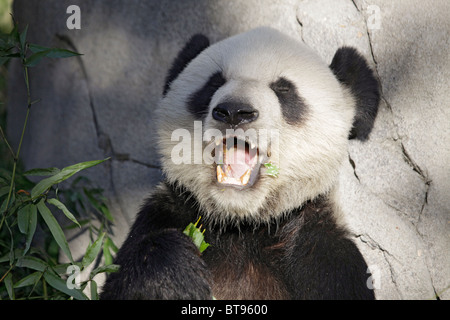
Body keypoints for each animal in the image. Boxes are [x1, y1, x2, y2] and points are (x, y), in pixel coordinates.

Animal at [100, 26, 378, 300]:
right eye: (214, 83)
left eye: (284, 89)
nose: (234, 112)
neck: (241, 224)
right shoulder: (166, 213)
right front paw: (174, 274)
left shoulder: (325, 256)